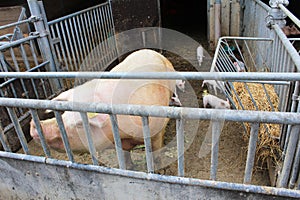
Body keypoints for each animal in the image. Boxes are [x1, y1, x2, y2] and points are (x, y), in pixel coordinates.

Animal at [30, 48, 176, 169]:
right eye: (65, 113)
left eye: (80, 124)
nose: (34, 124)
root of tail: (152, 51)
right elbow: (125, 154)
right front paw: (128, 167)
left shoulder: (157, 131)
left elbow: (155, 151)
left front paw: (158, 168)